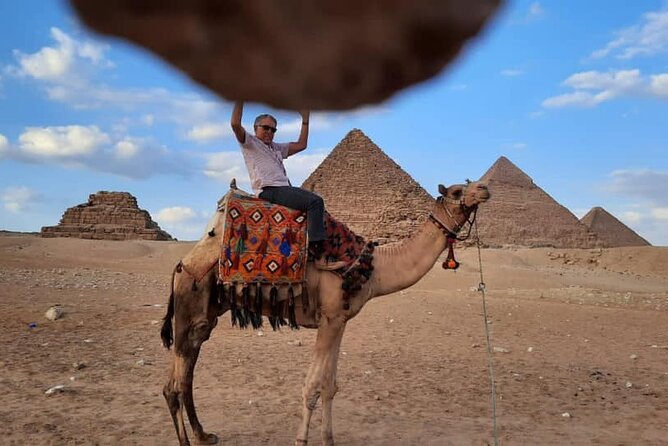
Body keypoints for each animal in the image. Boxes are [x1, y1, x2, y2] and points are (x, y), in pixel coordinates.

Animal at [160, 180, 490, 445]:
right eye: (457, 191)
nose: (485, 188)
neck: (374, 268)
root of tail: (180, 265)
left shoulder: (339, 320)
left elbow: (330, 386)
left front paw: (328, 439)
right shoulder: (328, 320)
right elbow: (312, 387)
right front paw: (301, 440)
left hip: (205, 316)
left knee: (184, 378)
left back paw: (204, 435)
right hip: (190, 310)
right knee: (174, 386)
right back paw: (188, 440)